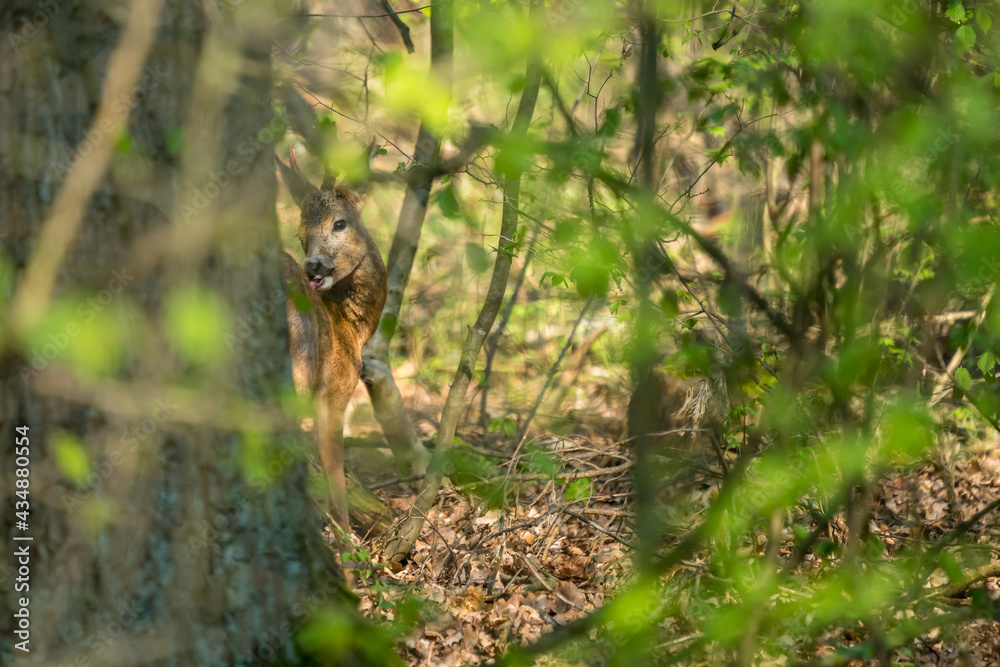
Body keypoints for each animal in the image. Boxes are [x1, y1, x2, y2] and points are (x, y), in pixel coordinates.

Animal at [278, 151, 386, 536]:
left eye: (340, 223)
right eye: (300, 235)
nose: (313, 267)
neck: (351, 327)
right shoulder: (332, 394)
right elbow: (335, 486)